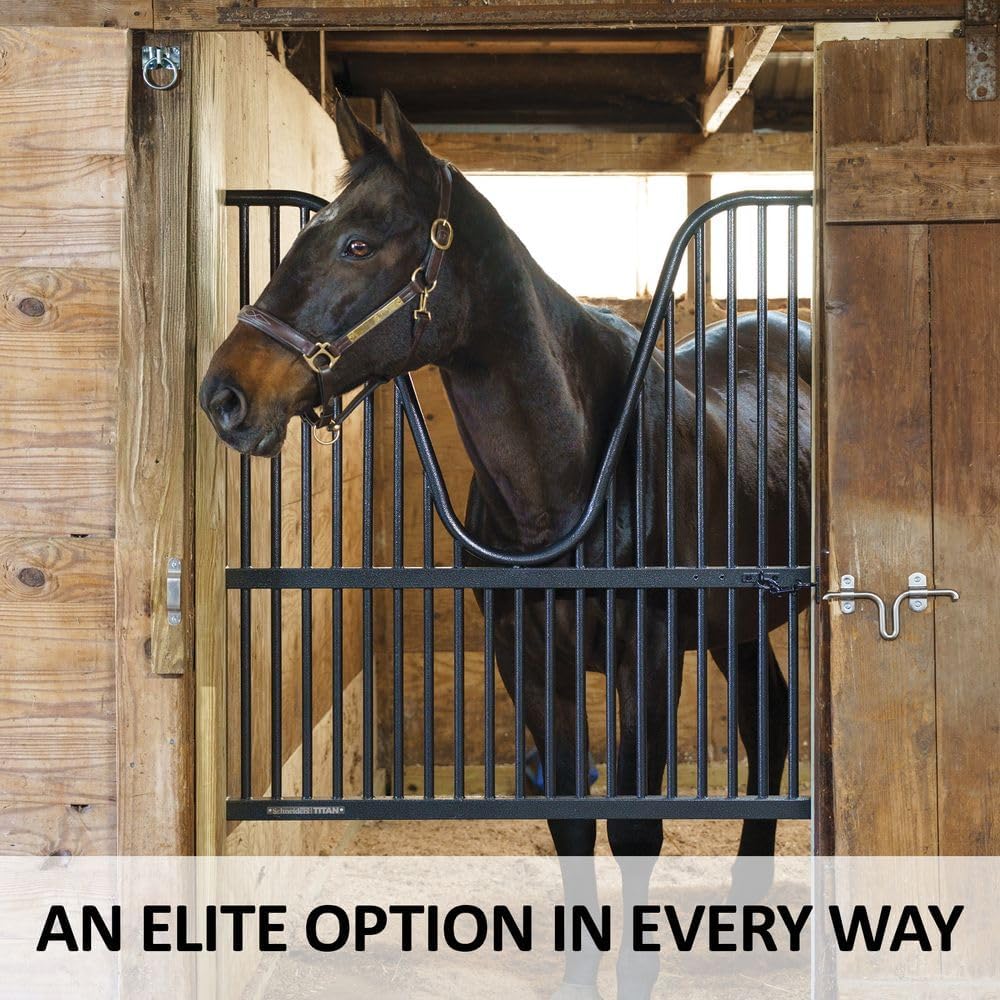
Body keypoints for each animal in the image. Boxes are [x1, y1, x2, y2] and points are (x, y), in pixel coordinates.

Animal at [199, 92, 810, 1000]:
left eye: (357, 244)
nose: (226, 395)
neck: (574, 473)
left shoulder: (648, 652)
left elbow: (634, 826)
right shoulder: (525, 654)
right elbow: (567, 818)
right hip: (733, 620)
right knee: (768, 715)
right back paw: (747, 904)